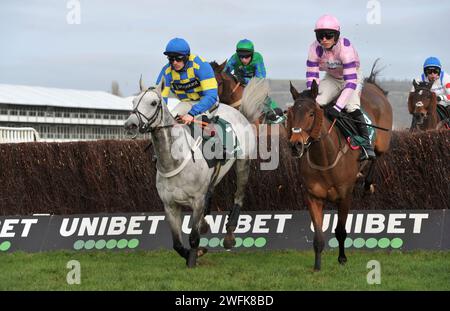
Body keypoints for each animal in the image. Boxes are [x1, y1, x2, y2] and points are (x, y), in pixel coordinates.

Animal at [124, 78, 268, 268]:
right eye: (133, 101)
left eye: (153, 103)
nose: (130, 125)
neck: (173, 162)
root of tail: (240, 113)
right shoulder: (170, 205)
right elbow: (177, 244)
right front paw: (195, 252)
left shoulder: (197, 201)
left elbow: (193, 237)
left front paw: (193, 258)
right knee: (211, 190)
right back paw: (205, 224)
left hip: (243, 164)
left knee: (238, 196)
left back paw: (229, 236)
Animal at [286, 68, 392, 270]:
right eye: (291, 114)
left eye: (311, 113)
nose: (295, 145)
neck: (324, 159)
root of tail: (373, 86)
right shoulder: (313, 197)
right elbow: (318, 236)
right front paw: (317, 266)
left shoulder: (344, 196)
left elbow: (341, 230)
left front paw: (342, 258)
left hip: (382, 142)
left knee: (377, 156)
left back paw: (367, 183)